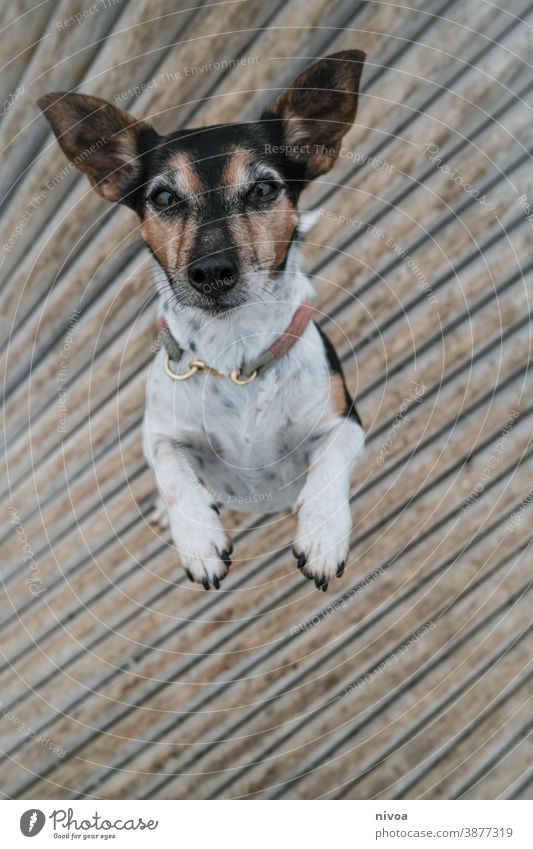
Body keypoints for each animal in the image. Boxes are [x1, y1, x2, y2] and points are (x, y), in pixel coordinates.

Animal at [39, 48, 366, 588]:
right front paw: (198, 540)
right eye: (164, 198)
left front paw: (322, 534)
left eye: (263, 189)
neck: (234, 353)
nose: (211, 272)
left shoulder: (344, 421)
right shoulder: (158, 432)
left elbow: (332, 462)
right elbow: (172, 471)